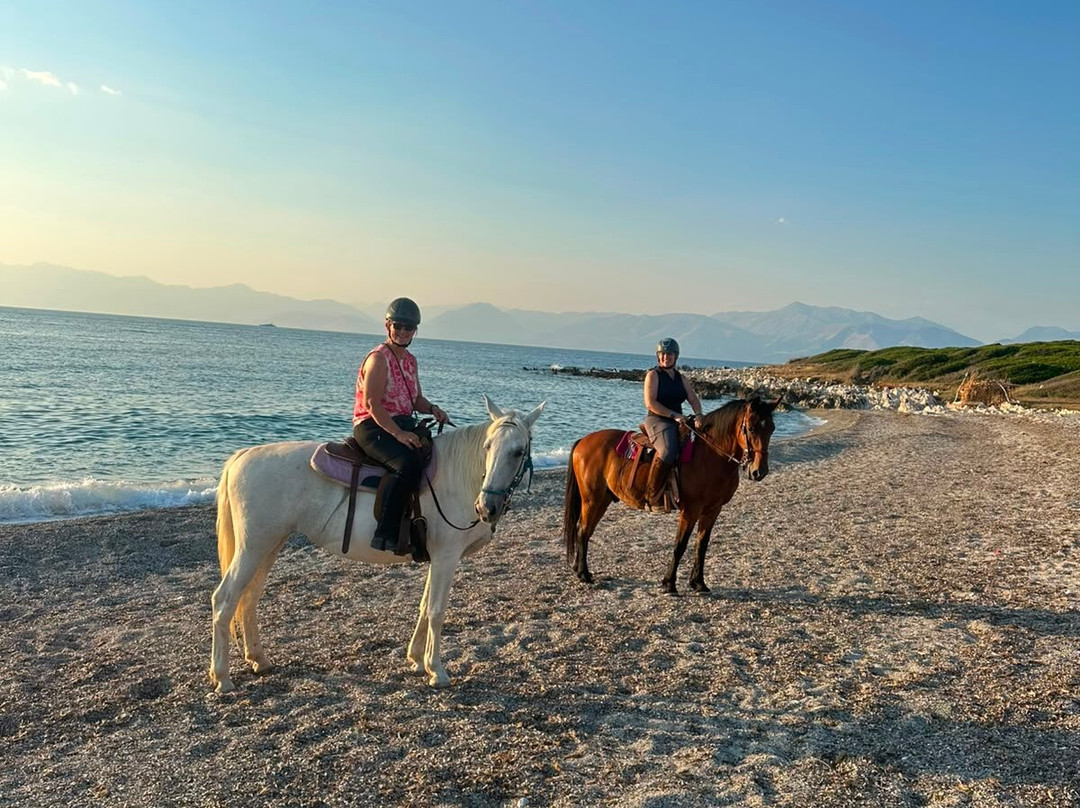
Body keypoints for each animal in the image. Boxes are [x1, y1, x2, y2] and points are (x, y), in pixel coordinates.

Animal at [209, 395, 544, 692]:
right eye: (488, 447)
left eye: (517, 452)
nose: (486, 508)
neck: (458, 476)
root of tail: (243, 456)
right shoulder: (447, 556)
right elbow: (436, 610)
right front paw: (436, 670)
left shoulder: (437, 558)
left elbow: (424, 606)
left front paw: (416, 660)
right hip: (254, 547)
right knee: (224, 599)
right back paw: (222, 677)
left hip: (268, 544)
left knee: (249, 598)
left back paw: (259, 659)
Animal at [563, 397, 779, 594]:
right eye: (751, 428)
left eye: (772, 429)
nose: (759, 471)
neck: (710, 455)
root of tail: (584, 441)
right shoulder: (691, 509)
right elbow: (680, 545)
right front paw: (669, 584)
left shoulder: (713, 510)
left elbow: (701, 545)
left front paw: (698, 583)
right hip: (592, 500)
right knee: (583, 530)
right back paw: (584, 574)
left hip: (602, 500)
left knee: (586, 531)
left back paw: (581, 571)